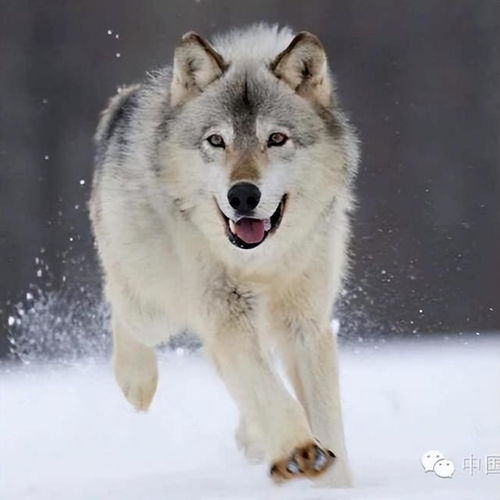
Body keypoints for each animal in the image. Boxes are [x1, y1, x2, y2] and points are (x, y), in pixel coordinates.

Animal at [88, 24, 358, 488]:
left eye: (276, 139)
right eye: (216, 140)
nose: (243, 195)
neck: (260, 263)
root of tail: (124, 100)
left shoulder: (306, 325)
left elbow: (324, 419)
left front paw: (333, 483)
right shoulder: (225, 315)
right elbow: (270, 391)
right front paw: (299, 450)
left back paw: (254, 441)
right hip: (155, 305)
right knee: (121, 306)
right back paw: (136, 382)